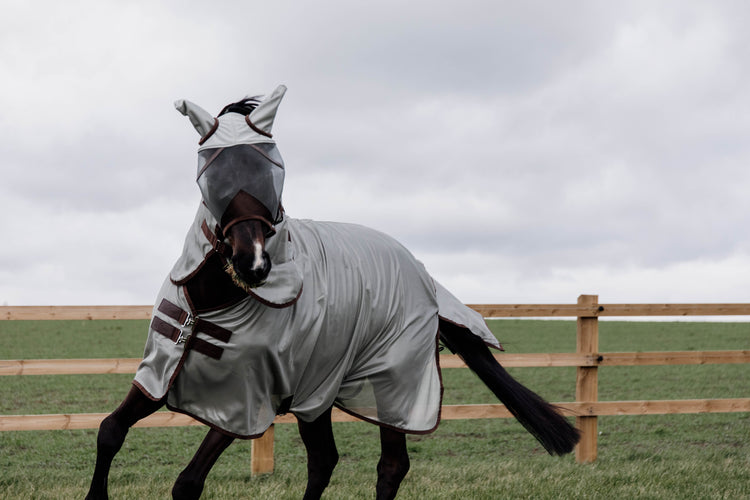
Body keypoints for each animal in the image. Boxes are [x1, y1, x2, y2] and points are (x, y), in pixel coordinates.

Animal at [86, 84, 580, 498]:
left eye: (275, 169)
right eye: (211, 174)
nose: (254, 263)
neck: (213, 304)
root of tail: (423, 275)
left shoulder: (242, 402)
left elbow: (187, 483)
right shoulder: (158, 374)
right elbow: (110, 431)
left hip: (392, 384)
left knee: (391, 465)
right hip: (317, 390)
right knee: (324, 460)